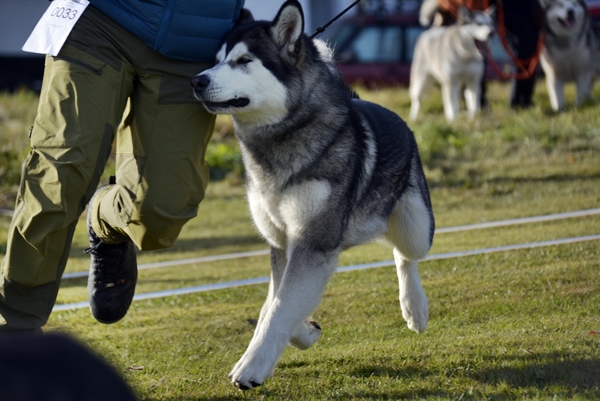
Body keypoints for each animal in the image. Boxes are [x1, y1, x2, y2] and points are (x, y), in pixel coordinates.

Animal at [195, 0, 434, 390]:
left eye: (244, 60)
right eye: (215, 60)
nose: (197, 80)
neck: (283, 137)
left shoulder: (312, 240)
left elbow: (280, 306)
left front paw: (251, 367)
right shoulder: (282, 241)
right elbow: (275, 303)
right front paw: (302, 331)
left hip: (416, 226)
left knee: (405, 255)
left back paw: (415, 307)